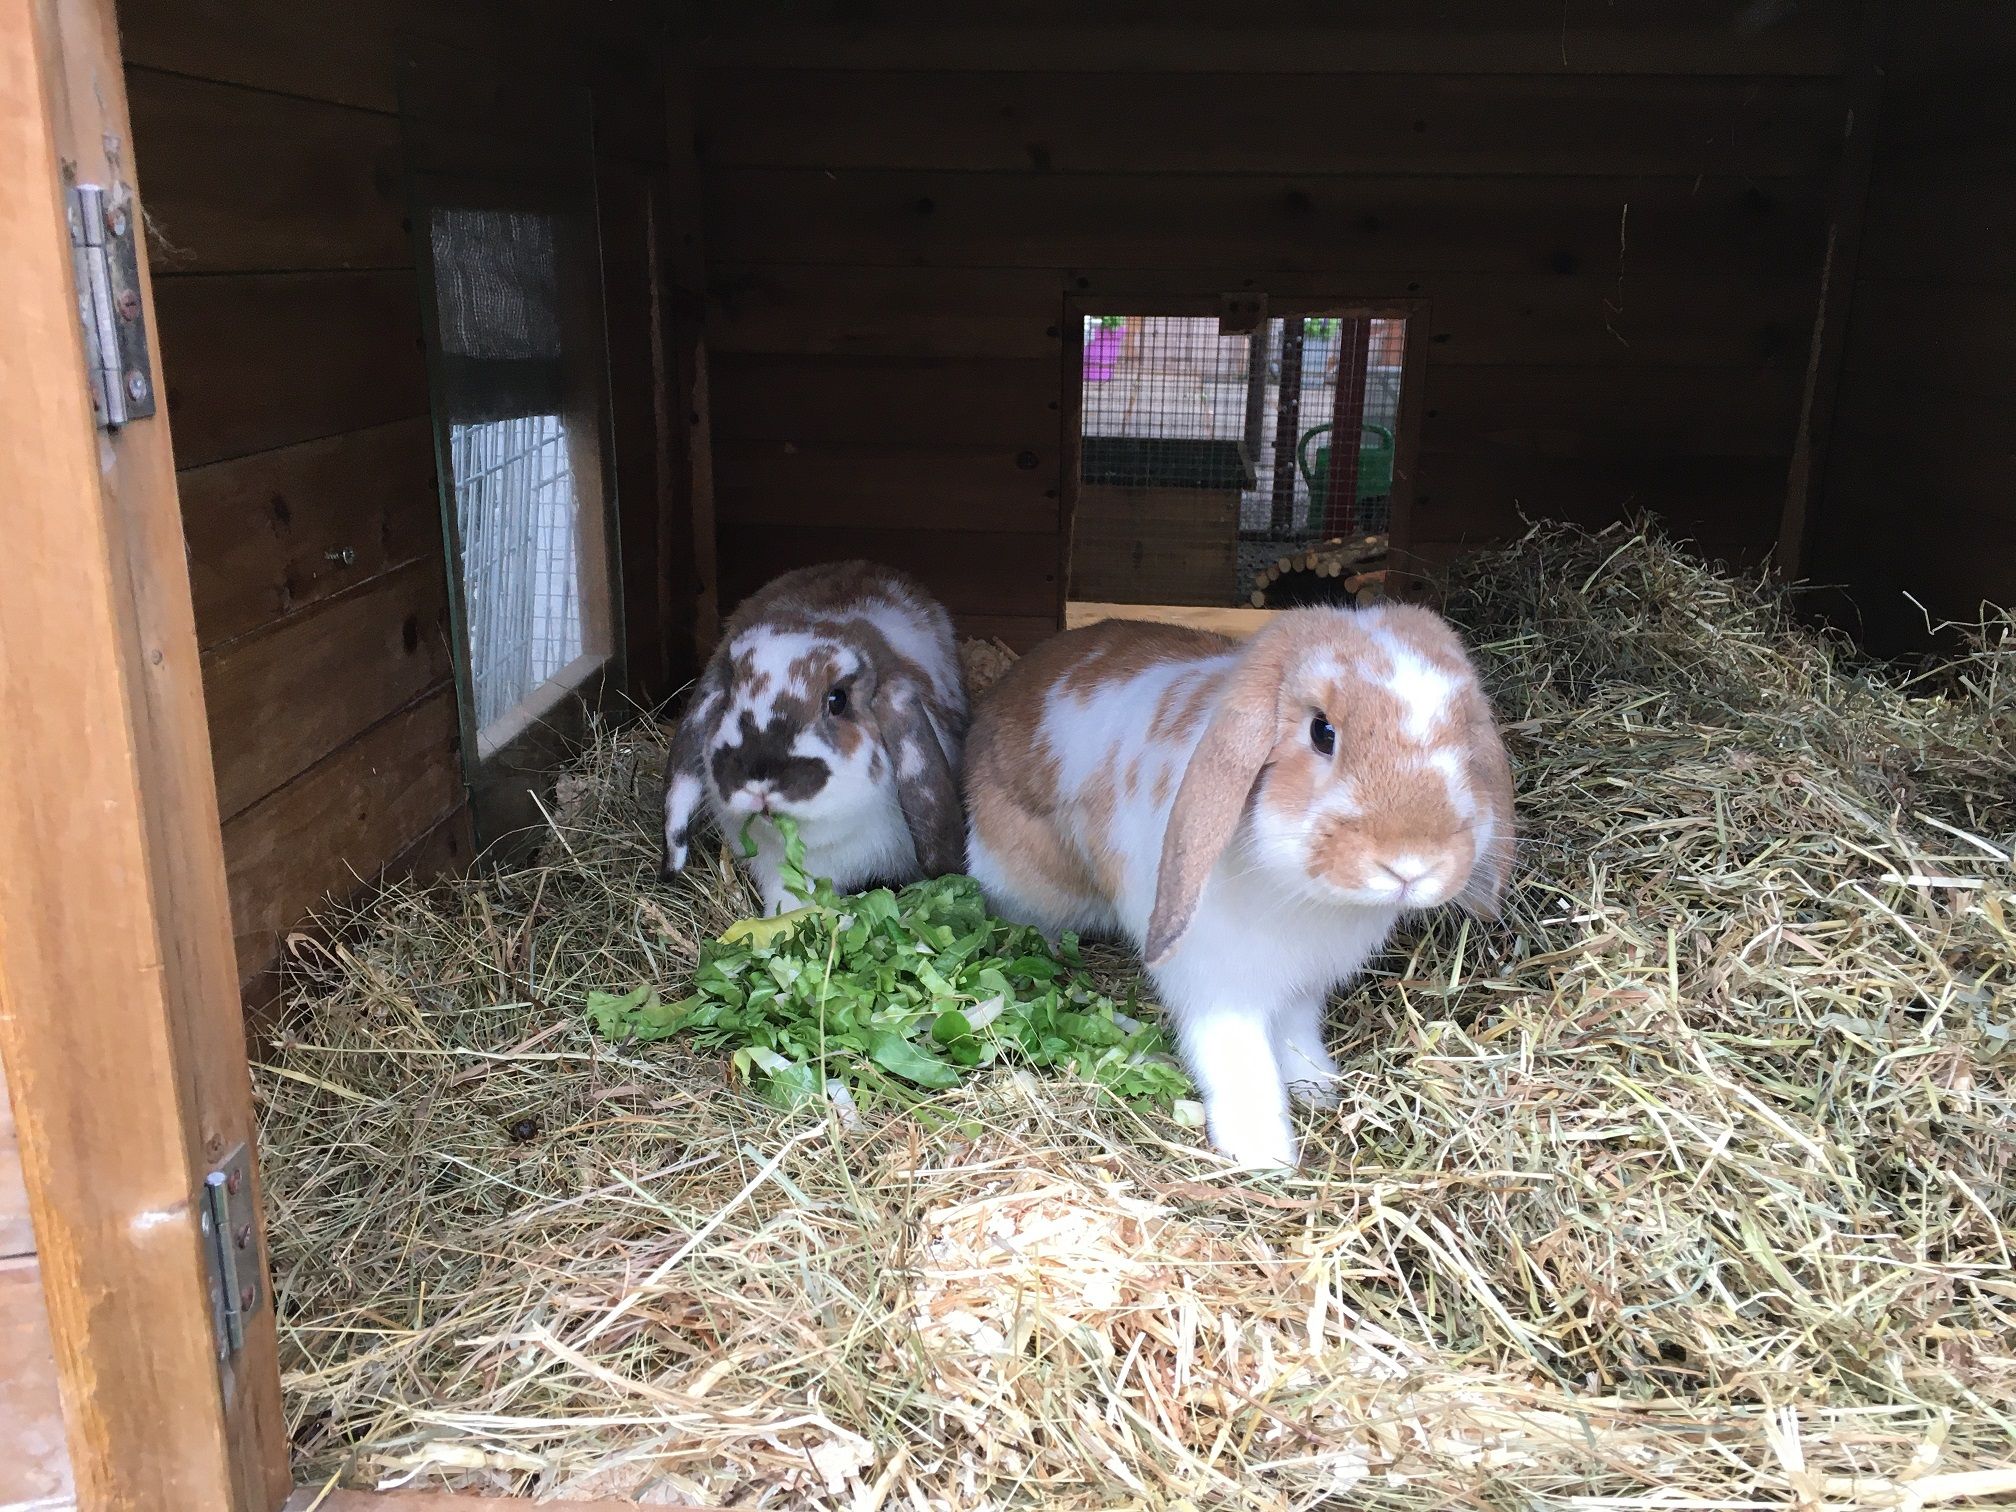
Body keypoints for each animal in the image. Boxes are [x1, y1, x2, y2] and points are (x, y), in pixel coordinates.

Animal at [964, 604, 1514, 1168]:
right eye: (1322, 731)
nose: (1411, 864)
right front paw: (1263, 1153)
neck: (1303, 899)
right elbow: (1239, 1059)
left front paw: (1318, 1087)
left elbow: (1295, 1033)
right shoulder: (1218, 988)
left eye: (1465, 736)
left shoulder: (1303, 985)